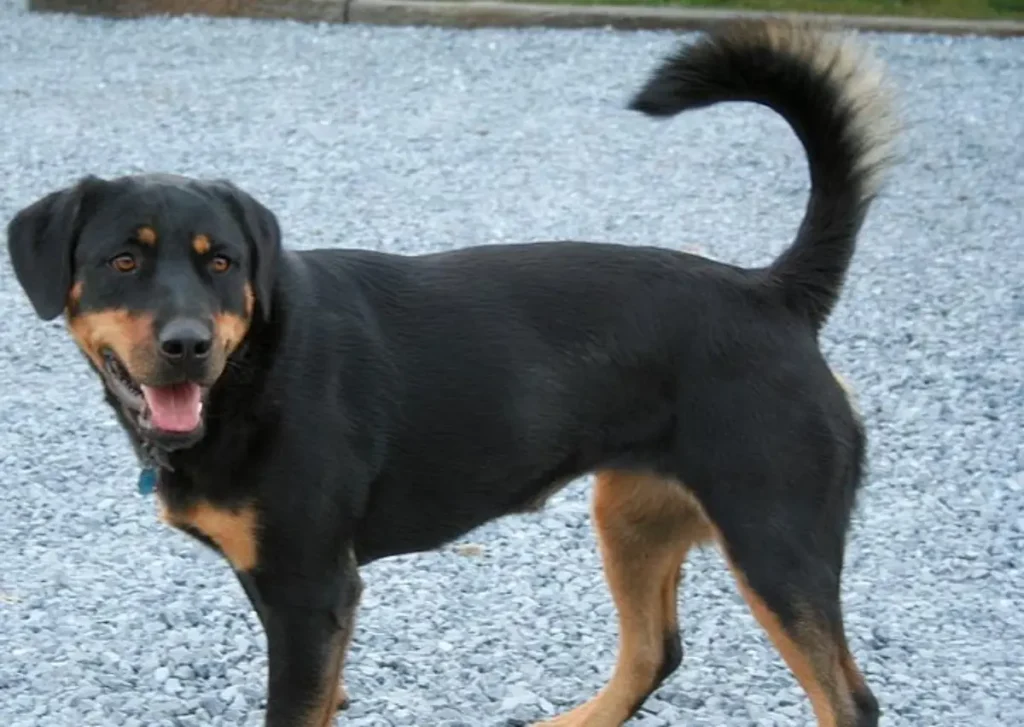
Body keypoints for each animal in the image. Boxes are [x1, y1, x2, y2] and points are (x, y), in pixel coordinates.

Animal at [4, 19, 892, 727]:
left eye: (220, 262)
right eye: (123, 260)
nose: (187, 344)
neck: (251, 372)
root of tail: (772, 292)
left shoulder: (309, 587)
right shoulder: (299, 593)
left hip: (774, 539)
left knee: (848, 700)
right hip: (632, 515)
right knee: (655, 651)